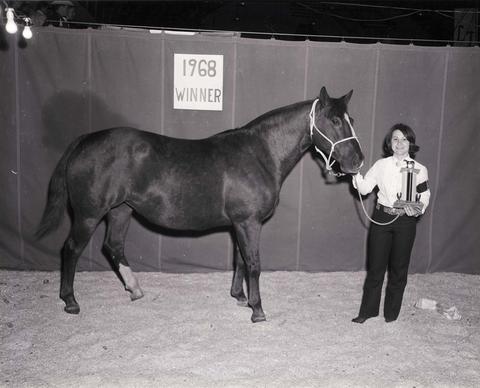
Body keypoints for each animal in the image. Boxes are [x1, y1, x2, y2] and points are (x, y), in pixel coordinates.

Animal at [36, 87, 364, 322]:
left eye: (351, 120)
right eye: (335, 121)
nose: (357, 161)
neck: (259, 153)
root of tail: (85, 140)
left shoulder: (239, 223)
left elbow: (239, 260)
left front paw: (239, 297)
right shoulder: (249, 222)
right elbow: (253, 263)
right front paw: (258, 310)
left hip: (121, 211)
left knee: (112, 246)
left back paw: (135, 290)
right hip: (88, 215)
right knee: (71, 250)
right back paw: (71, 302)